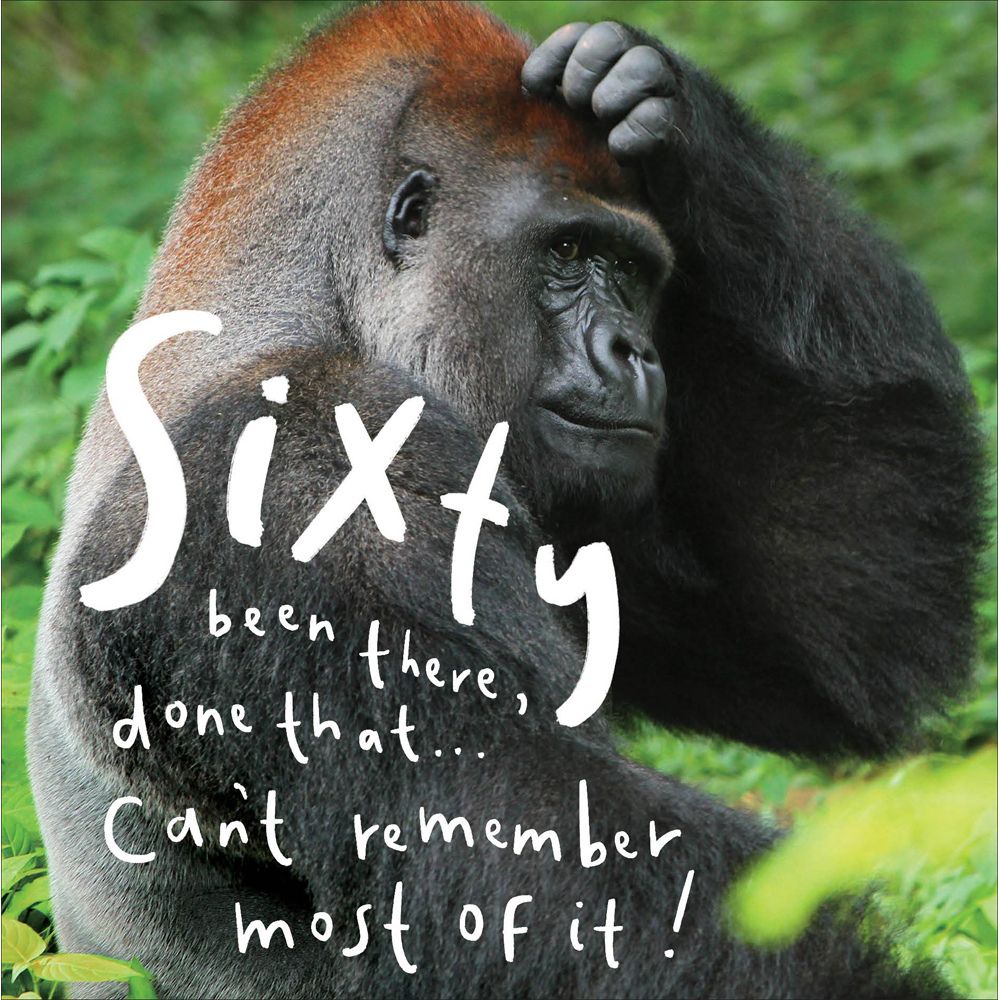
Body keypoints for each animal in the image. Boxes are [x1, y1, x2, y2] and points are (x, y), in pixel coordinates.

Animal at [27, 2, 983, 998]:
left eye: (635, 273)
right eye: (567, 252)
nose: (638, 352)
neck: (297, 310)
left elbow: (836, 646)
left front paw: (665, 105)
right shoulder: (303, 472)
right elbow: (555, 879)